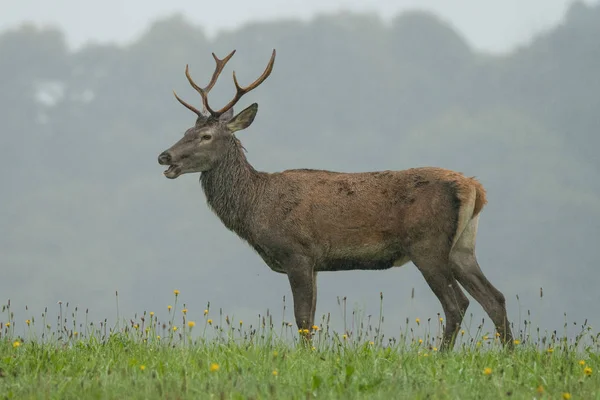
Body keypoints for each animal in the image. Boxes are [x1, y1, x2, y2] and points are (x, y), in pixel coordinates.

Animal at [157, 49, 512, 350]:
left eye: (206, 136)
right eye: (186, 131)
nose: (165, 156)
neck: (256, 207)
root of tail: (474, 188)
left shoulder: (297, 251)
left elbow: (302, 318)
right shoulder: (315, 262)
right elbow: (311, 318)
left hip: (428, 244)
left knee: (457, 303)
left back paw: (441, 357)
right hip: (462, 246)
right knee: (495, 297)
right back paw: (510, 354)